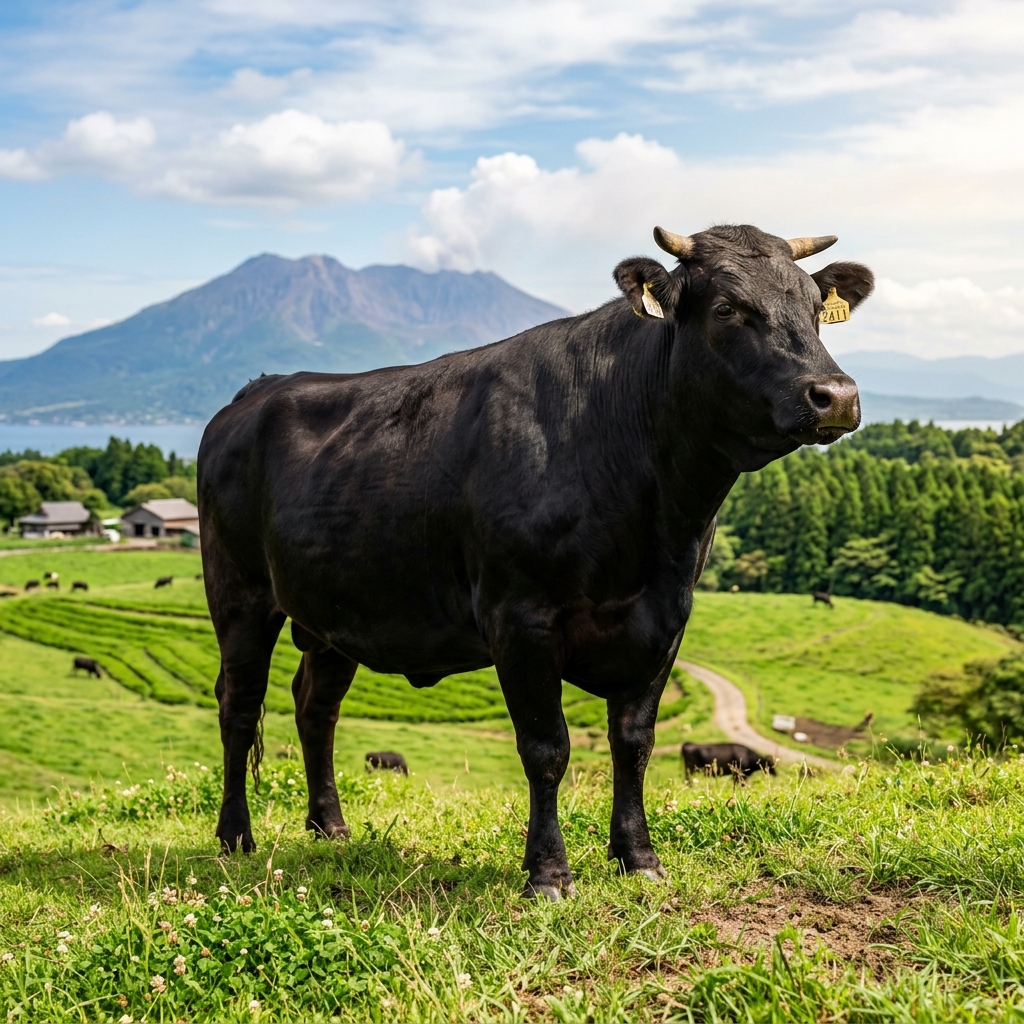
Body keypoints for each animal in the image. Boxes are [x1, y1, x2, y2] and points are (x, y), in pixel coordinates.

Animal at [198, 224, 871, 900]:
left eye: (815, 307)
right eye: (728, 308)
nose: (836, 395)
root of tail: (257, 390)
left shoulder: (665, 620)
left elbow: (634, 743)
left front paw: (638, 857)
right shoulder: (519, 618)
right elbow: (547, 748)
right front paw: (548, 872)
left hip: (335, 614)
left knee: (316, 706)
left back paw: (329, 827)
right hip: (239, 593)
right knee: (239, 705)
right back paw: (235, 836)